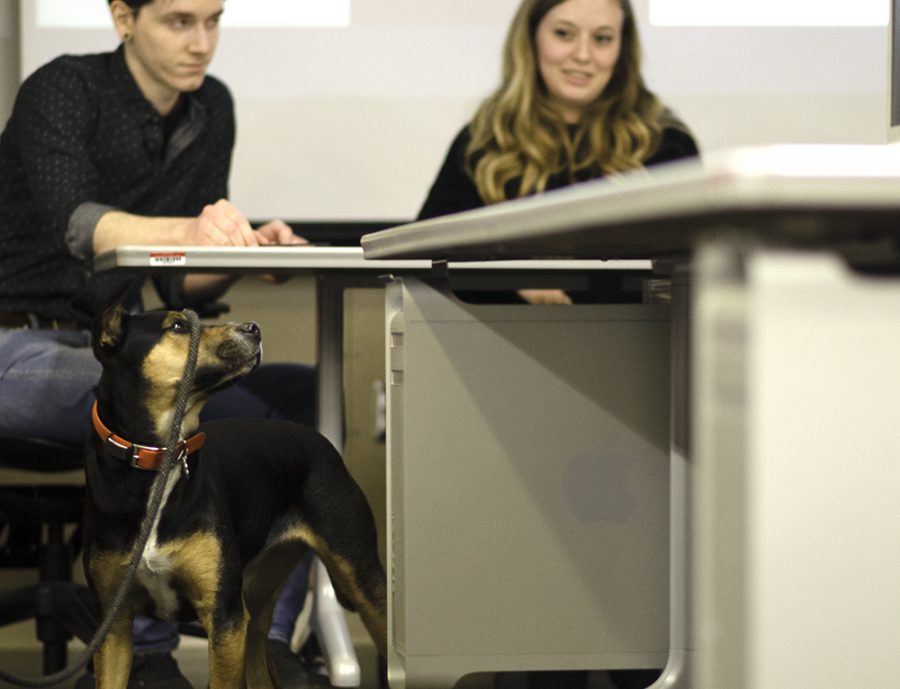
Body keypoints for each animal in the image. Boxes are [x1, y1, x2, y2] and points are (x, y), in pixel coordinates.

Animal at [85, 306, 390, 688]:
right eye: (178, 326)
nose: (254, 328)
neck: (158, 459)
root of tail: (318, 438)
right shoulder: (113, 625)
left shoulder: (225, 617)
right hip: (257, 606)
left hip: (361, 575)